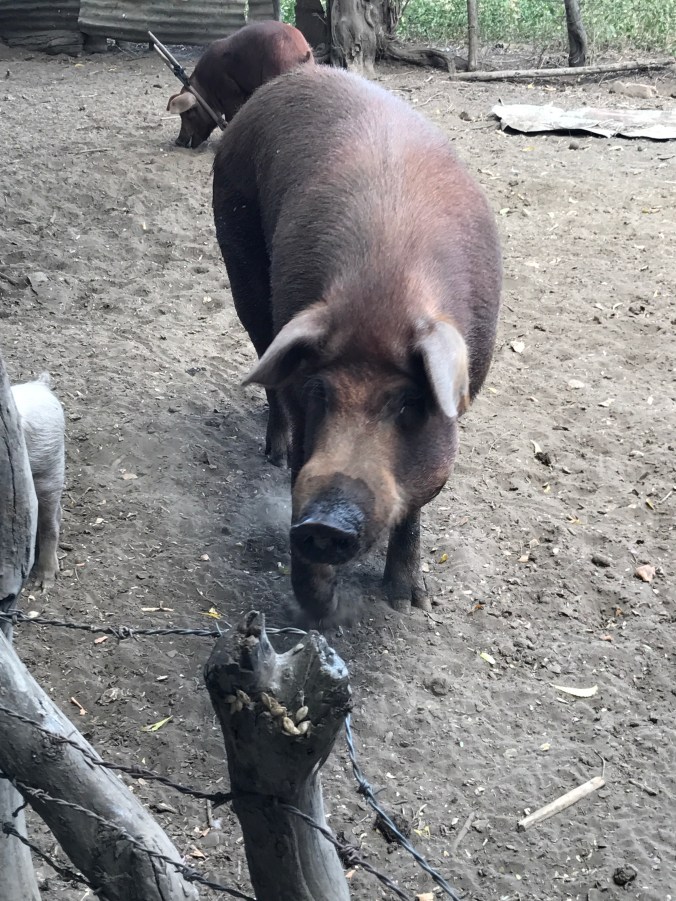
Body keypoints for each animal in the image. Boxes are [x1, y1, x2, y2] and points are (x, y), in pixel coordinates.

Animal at [166, 21, 314, 149]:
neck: (206, 89)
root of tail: (302, 52)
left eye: (188, 113)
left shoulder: (230, 94)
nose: (178, 142)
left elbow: (231, 116)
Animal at [212, 67, 502, 623]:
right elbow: (301, 465)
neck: (383, 296)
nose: (324, 524)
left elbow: (416, 504)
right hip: (239, 254)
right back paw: (273, 455)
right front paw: (319, 607)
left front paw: (407, 602)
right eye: (319, 392)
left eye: (409, 403)